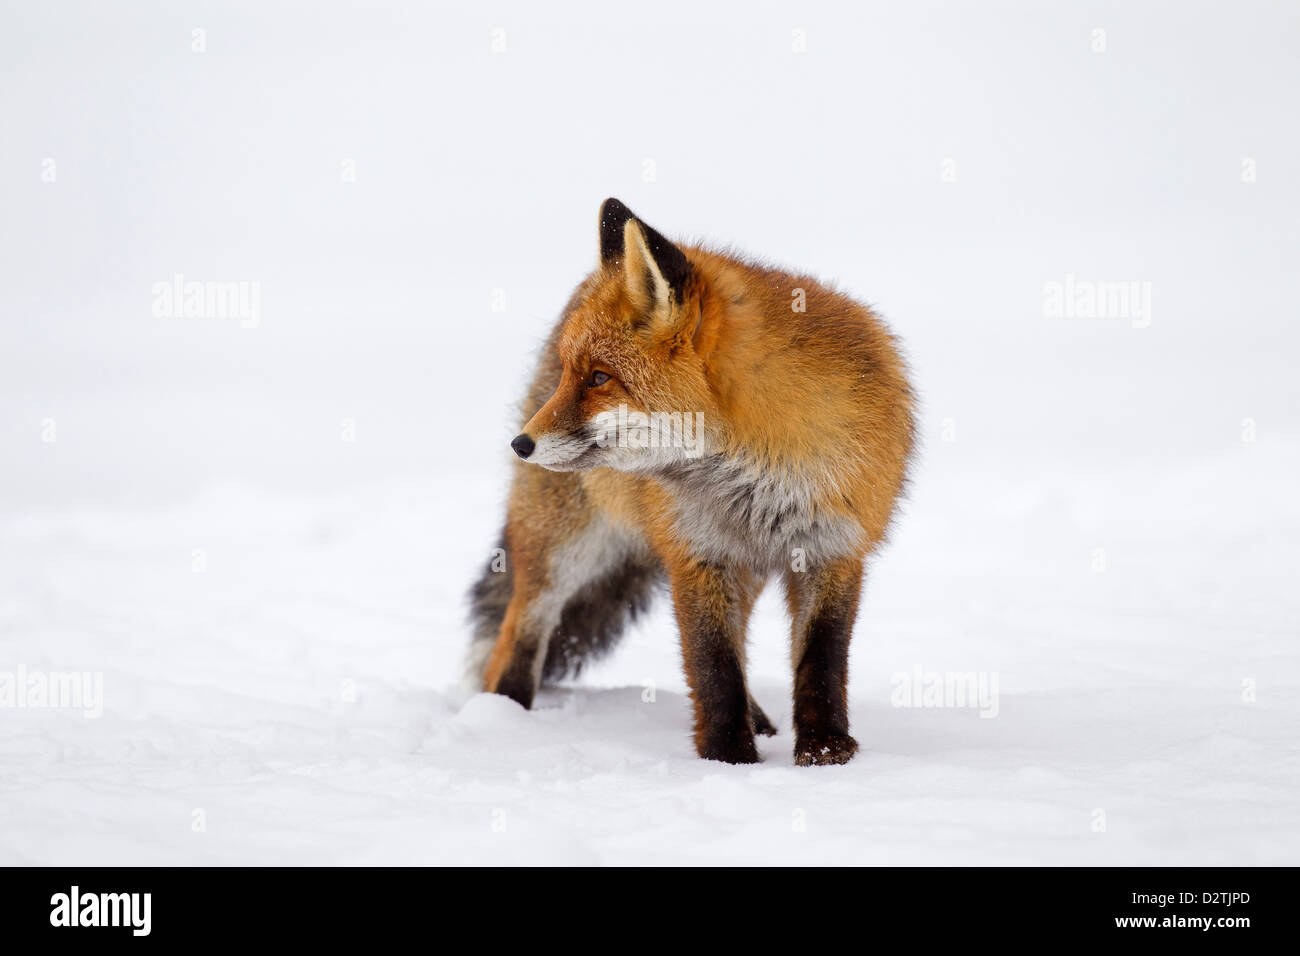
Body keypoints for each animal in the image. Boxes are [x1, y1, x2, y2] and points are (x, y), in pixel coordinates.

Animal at [467, 197, 915, 764]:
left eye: (599, 378)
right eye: (572, 374)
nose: (520, 444)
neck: (758, 470)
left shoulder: (834, 550)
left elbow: (821, 660)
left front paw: (825, 752)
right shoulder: (695, 554)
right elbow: (713, 666)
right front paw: (729, 758)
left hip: (742, 572)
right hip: (563, 548)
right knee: (520, 629)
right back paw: (505, 719)